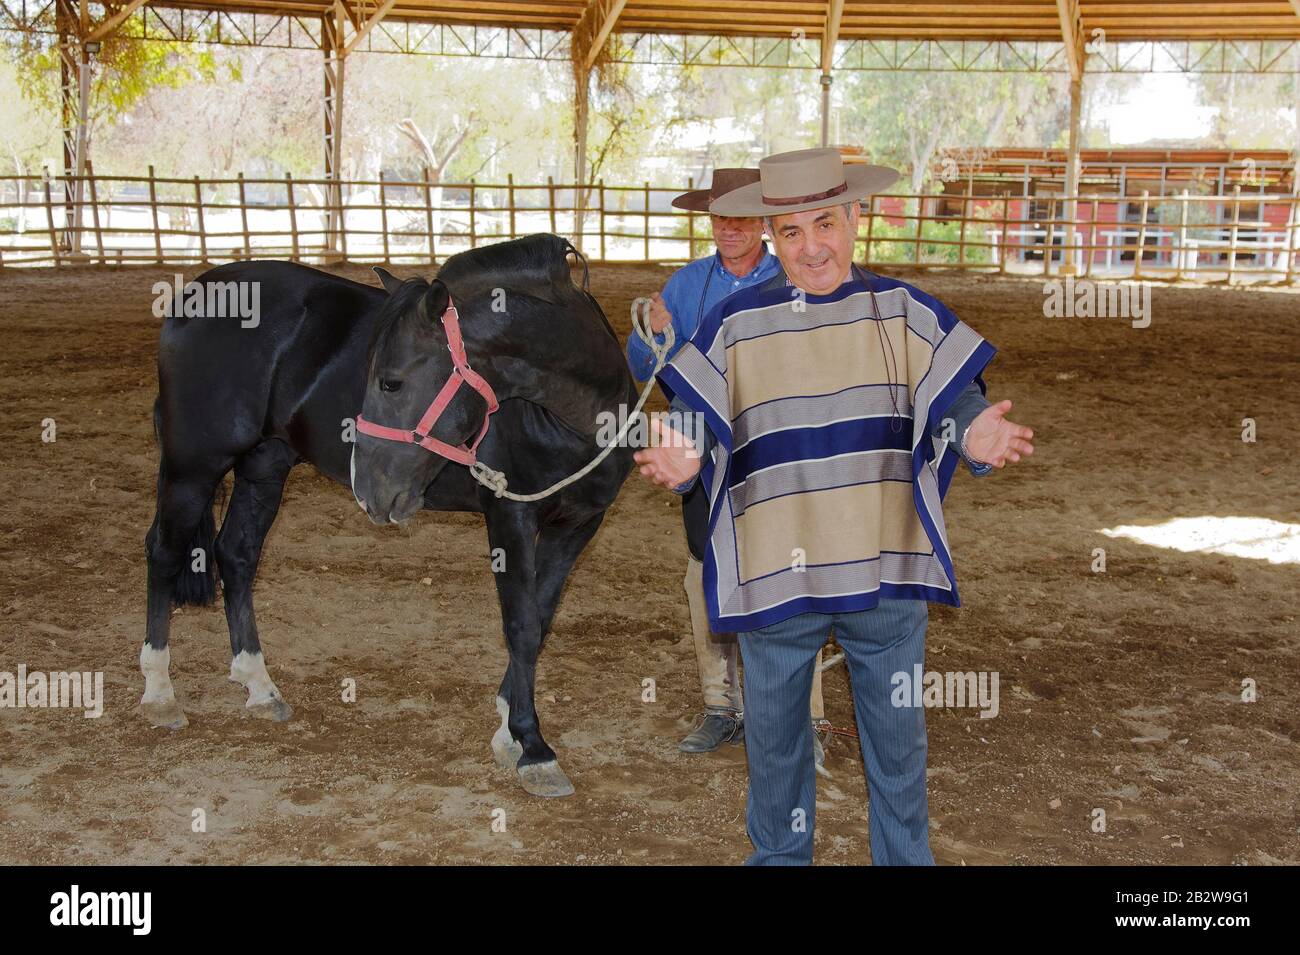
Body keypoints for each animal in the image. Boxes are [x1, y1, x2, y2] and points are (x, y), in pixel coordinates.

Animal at [144, 235, 637, 795]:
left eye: (392, 383)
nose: (368, 488)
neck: (572, 418)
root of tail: (193, 297)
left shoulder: (579, 522)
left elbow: (541, 619)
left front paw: (508, 729)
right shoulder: (510, 516)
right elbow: (521, 626)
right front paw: (532, 746)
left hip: (264, 464)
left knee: (237, 556)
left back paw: (258, 685)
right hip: (193, 465)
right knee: (164, 554)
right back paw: (159, 693)